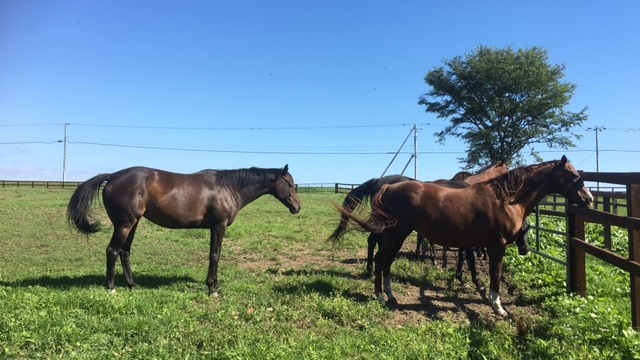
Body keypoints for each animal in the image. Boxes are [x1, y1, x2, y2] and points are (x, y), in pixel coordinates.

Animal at [66, 165, 302, 296]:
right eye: (290, 184)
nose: (298, 207)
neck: (228, 188)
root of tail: (113, 176)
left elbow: (215, 255)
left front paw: (214, 284)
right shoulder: (218, 226)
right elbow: (215, 255)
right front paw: (212, 288)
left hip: (133, 224)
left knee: (125, 252)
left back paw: (133, 285)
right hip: (124, 224)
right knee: (112, 251)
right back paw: (112, 288)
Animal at [338, 156, 592, 316]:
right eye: (572, 176)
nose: (589, 199)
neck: (505, 199)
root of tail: (387, 187)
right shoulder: (496, 245)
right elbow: (494, 273)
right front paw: (498, 307)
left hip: (399, 234)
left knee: (387, 261)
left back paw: (390, 295)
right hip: (393, 233)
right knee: (381, 259)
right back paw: (380, 296)